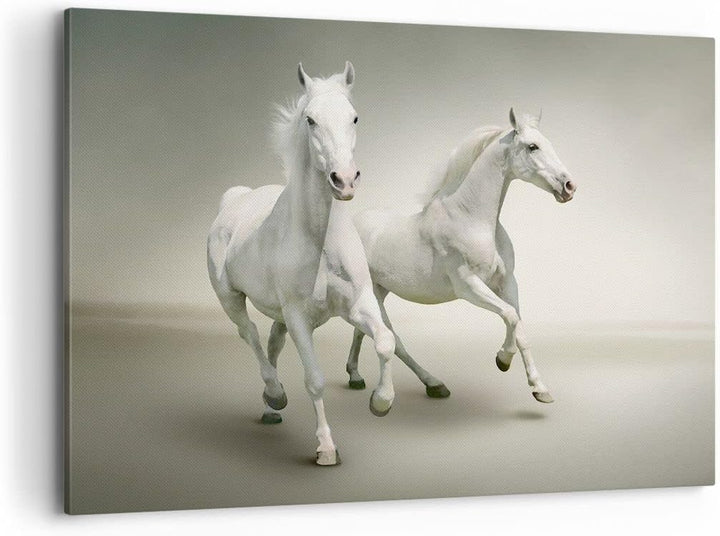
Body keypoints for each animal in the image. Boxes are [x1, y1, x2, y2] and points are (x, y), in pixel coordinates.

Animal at [207, 62, 396, 466]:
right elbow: (315, 380)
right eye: (311, 120)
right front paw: (326, 447)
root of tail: (234, 199)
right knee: (250, 334)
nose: (344, 180)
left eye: (354, 117)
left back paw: (270, 406)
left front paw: (381, 401)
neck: (321, 242)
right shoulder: (298, 317)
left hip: (278, 314)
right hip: (230, 298)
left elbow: (386, 341)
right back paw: (275, 394)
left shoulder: (357, 304)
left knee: (272, 343)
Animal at [345, 109, 577, 404]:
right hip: (371, 292)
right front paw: (503, 359)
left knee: (362, 331)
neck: (472, 219)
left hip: (379, 291)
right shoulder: (468, 286)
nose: (569, 186)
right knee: (391, 339)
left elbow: (520, 327)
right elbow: (510, 316)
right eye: (532, 146)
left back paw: (356, 376)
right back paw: (429, 384)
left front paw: (540, 388)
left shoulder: (507, 283)